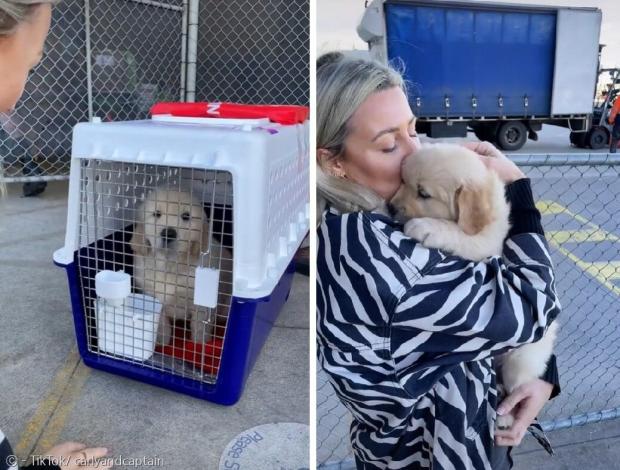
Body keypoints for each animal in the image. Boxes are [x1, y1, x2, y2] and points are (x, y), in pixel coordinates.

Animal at [129, 187, 232, 346]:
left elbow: (199, 324)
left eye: (186, 216)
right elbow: (162, 323)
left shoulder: (201, 302)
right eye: (157, 214)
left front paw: (200, 343)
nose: (168, 233)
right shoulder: (152, 295)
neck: (170, 265)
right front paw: (162, 341)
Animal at [390, 143, 560, 430]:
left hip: (521, 359)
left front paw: (427, 227)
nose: (390, 208)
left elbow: (459, 235)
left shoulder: (487, 243)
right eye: (402, 179)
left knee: (514, 390)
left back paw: (506, 417)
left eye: (423, 193)